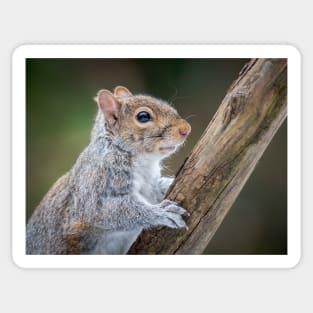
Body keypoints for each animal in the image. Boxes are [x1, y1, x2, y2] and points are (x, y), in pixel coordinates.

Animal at [26, 86, 191, 254]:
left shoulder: (150, 186)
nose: (186, 129)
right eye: (143, 116)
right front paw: (161, 213)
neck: (143, 161)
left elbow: (158, 189)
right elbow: (109, 212)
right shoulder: (93, 187)